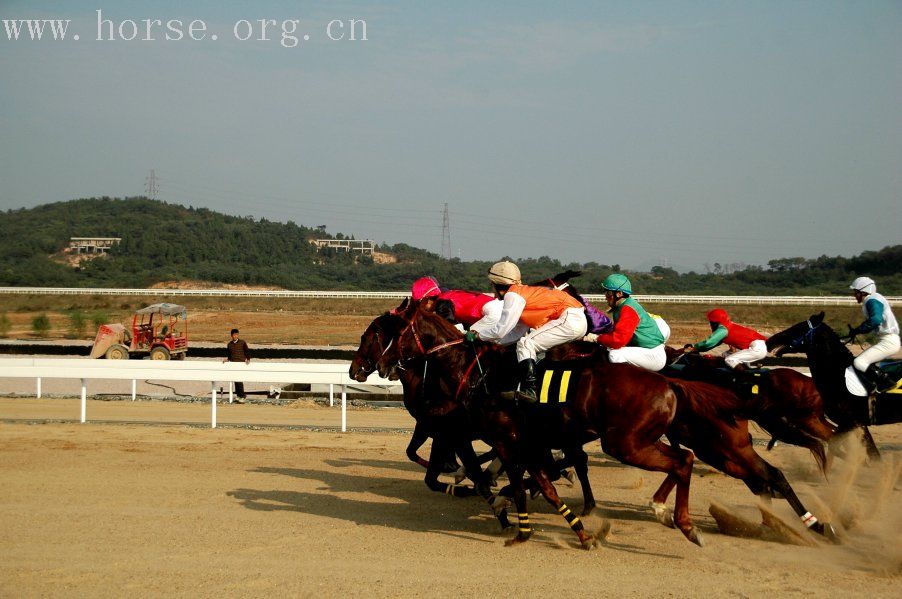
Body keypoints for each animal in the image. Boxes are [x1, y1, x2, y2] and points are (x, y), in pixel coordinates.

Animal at [380, 298, 700, 552]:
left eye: (390, 331)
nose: (382, 366)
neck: (477, 374)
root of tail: (667, 383)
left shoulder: (505, 440)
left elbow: (522, 485)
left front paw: (521, 530)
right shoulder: (523, 442)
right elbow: (545, 487)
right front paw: (582, 534)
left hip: (624, 444)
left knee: (679, 461)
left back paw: (674, 517)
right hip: (638, 439)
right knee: (684, 458)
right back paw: (676, 519)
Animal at [768, 312, 902, 462]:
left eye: (797, 328)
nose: (770, 341)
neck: (837, 374)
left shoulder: (853, 422)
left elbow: (871, 456)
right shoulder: (849, 424)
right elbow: (836, 445)